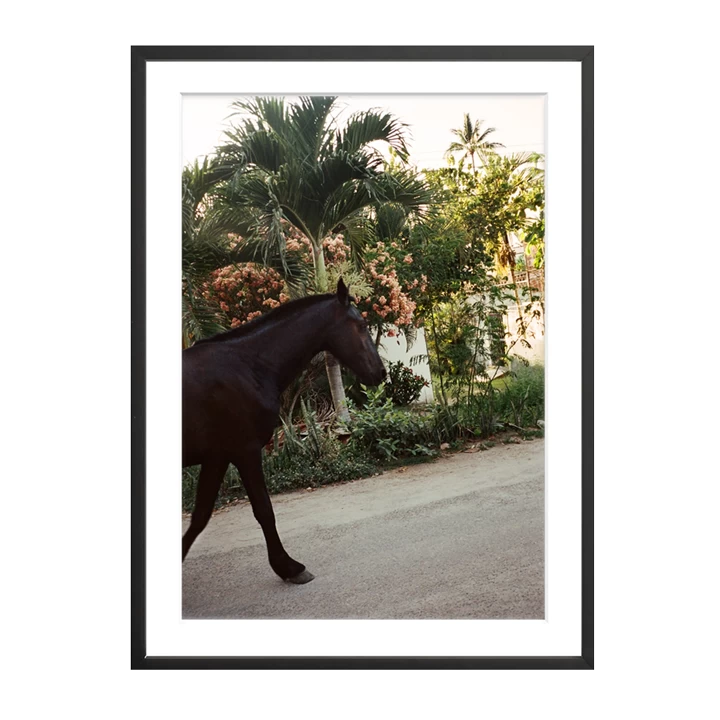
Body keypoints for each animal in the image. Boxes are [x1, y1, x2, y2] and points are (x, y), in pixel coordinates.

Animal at [182, 278, 386, 584]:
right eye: (361, 325)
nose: (381, 373)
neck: (247, 365)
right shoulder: (245, 451)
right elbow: (264, 511)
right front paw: (288, 567)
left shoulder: (216, 457)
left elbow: (200, 517)